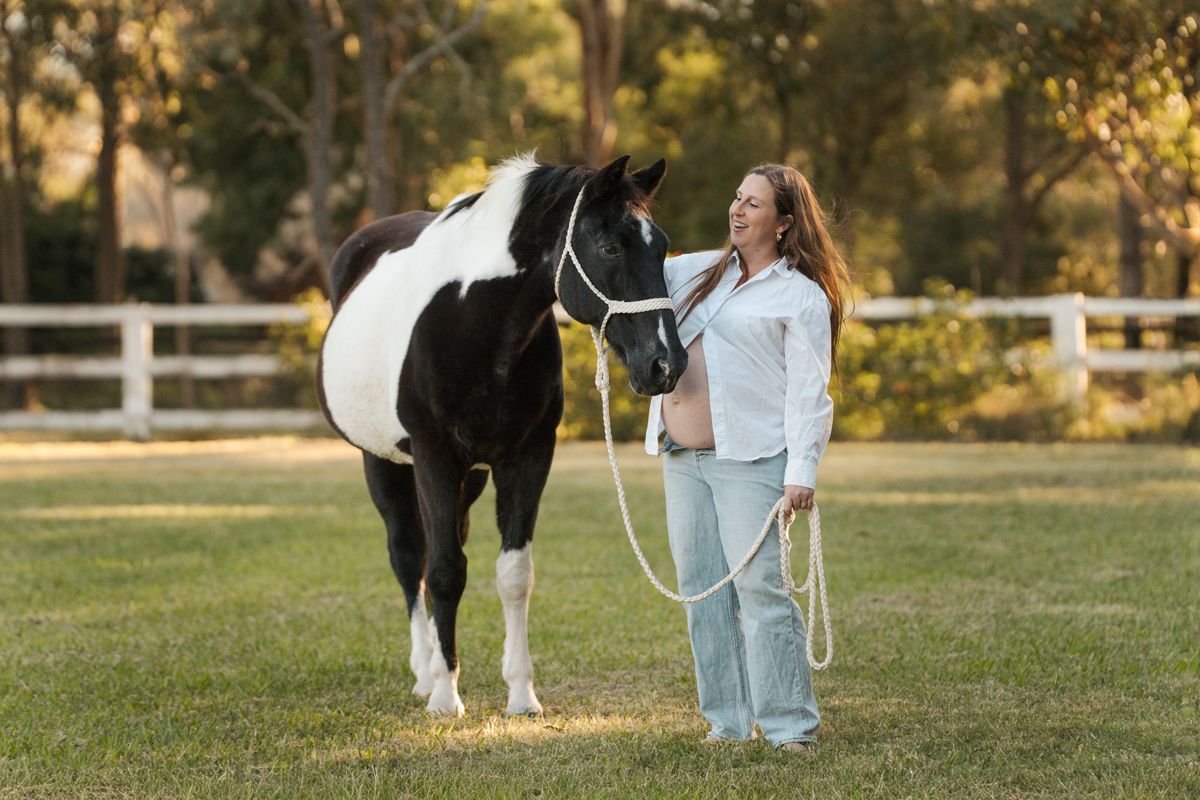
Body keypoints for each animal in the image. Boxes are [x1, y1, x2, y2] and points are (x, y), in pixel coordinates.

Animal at [316, 154, 688, 716]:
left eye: (662, 245)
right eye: (609, 246)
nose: (666, 365)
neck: (475, 320)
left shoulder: (528, 457)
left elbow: (513, 575)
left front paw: (521, 694)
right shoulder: (434, 456)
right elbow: (445, 570)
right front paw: (446, 697)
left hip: (467, 478)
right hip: (383, 463)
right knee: (409, 557)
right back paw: (425, 673)